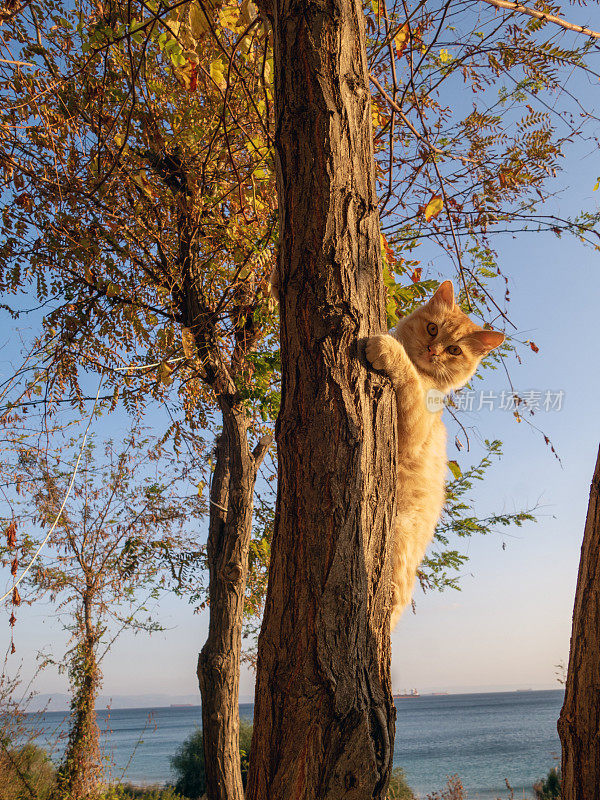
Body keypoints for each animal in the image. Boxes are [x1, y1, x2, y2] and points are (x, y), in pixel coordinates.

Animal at [368, 280, 504, 624]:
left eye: (455, 350)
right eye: (432, 329)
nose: (434, 351)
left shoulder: (412, 429)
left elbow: (406, 377)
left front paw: (387, 348)